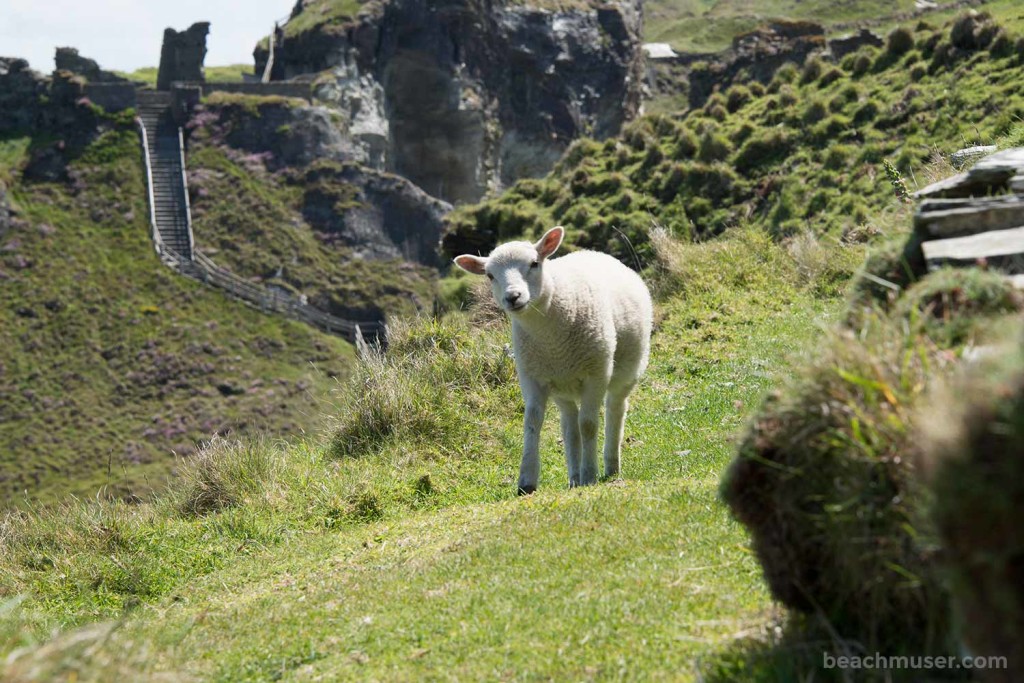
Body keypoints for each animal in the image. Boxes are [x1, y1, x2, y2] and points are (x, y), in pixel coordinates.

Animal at [454, 227, 651, 493]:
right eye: (489, 275)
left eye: (534, 263)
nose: (513, 297)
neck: (551, 338)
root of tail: (595, 253)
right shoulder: (532, 377)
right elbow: (532, 422)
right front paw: (526, 481)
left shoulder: (596, 373)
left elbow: (589, 424)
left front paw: (590, 474)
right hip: (562, 388)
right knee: (570, 427)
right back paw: (574, 477)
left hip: (625, 372)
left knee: (615, 410)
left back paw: (610, 466)